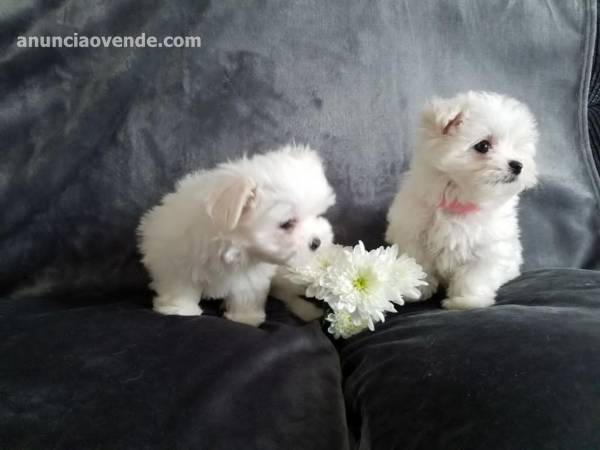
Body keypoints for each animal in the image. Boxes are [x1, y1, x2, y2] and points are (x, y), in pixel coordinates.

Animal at [137, 146, 338, 326]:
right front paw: (180, 310)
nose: (317, 242)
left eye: (318, 214)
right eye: (287, 223)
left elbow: (246, 293)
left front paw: (246, 318)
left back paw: (307, 310)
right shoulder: (178, 262)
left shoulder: (251, 274)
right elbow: (180, 288)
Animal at [386, 91, 536, 310]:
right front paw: (416, 291)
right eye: (483, 146)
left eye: (516, 148)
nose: (518, 165)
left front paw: (466, 301)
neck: (460, 199)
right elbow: (418, 264)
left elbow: (474, 275)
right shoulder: (412, 236)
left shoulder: (487, 248)